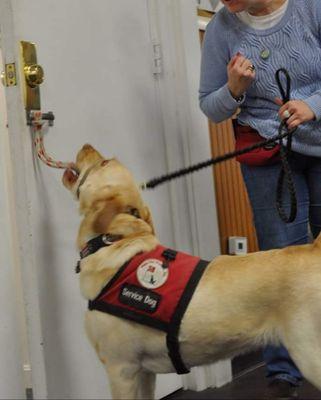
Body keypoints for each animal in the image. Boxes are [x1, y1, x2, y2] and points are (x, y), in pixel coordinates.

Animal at [62, 145, 320, 398]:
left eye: (104, 163)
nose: (86, 145)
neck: (114, 244)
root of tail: (314, 250)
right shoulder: (144, 373)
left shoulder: (122, 369)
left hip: (308, 352)